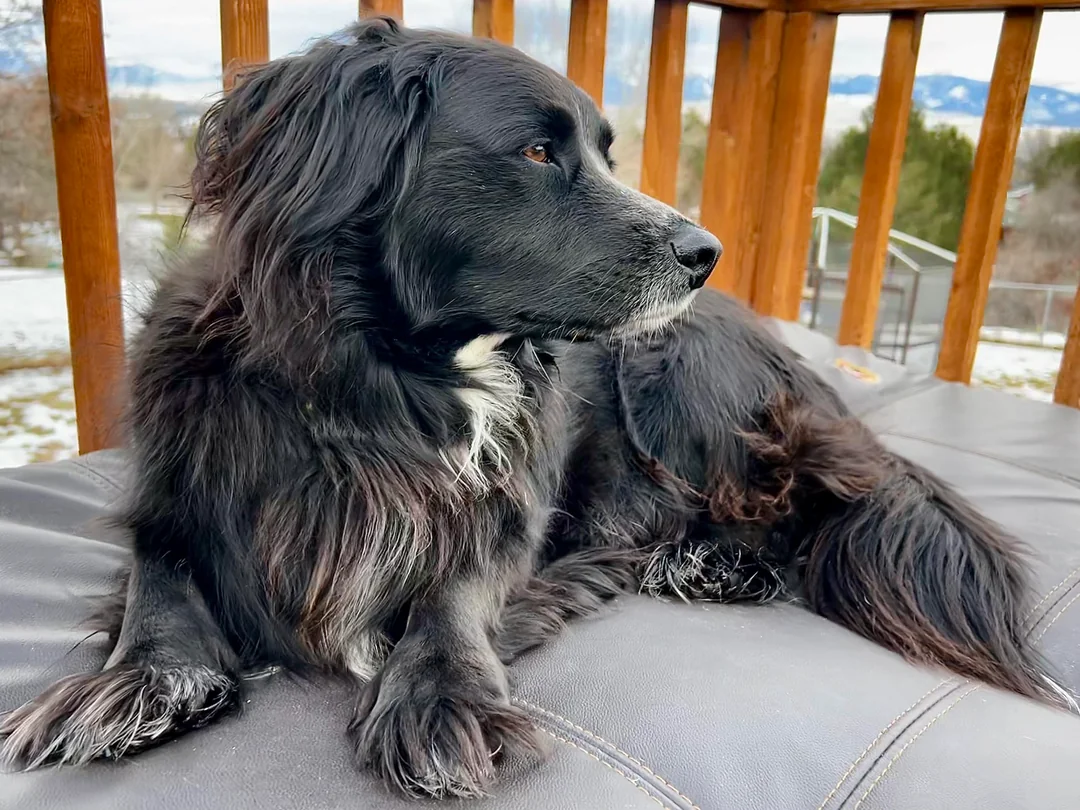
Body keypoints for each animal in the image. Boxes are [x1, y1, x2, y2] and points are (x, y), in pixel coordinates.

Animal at [1, 17, 1071, 800]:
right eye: (535, 151)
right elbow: (161, 583)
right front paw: (135, 679)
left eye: (603, 153)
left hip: (676, 375)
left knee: (794, 503)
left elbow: (452, 592)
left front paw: (441, 695)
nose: (706, 250)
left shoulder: (504, 518)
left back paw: (716, 560)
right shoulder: (174, 500)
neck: (385, 385)